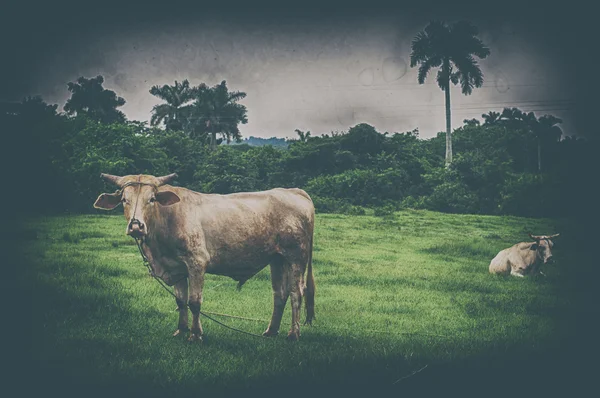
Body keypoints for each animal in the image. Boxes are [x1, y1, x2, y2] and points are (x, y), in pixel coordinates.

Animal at [93, 173, 316, 342]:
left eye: (152, 199)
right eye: (124, 200)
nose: (136, 226)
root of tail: (294, 191)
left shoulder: (196, 263)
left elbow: (194, 302)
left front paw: (195, 334)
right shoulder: (177, 268)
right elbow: (180, 301)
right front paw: (181, 330)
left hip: (296, 257)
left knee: (297, 292)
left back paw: (293, 334)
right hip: (277, 259)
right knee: (279, 294)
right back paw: (271, 331)